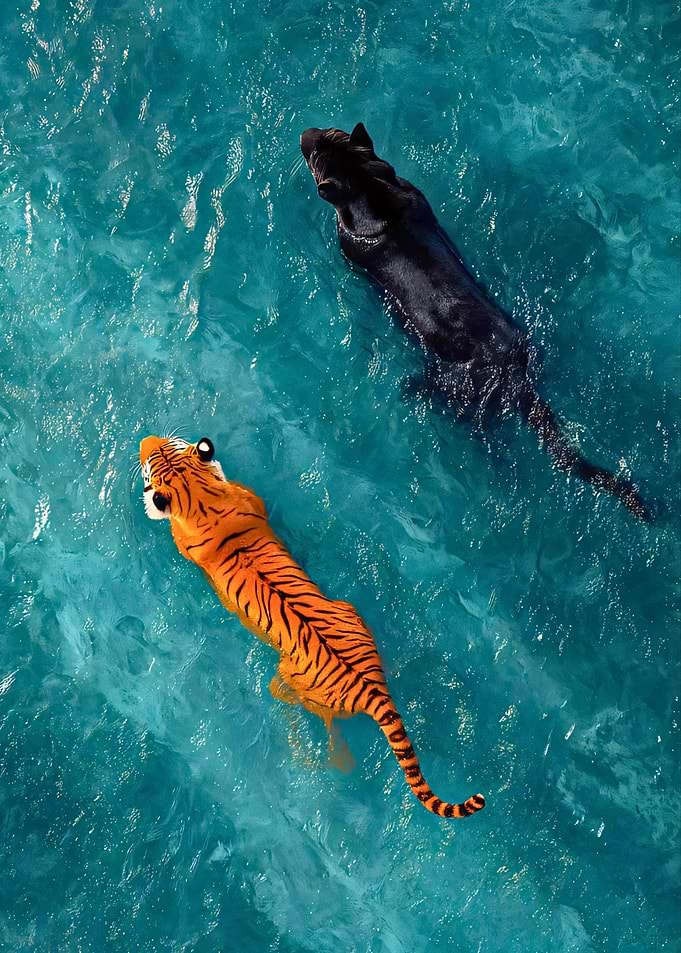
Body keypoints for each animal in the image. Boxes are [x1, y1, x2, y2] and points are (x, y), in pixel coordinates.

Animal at [140, 434, 486, 820]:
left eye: (152, 460)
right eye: (162, 451)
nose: (145, 440)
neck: (204, 500)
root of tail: (372, 689)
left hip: (290, 680)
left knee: (311, 716)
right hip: (350, 611)